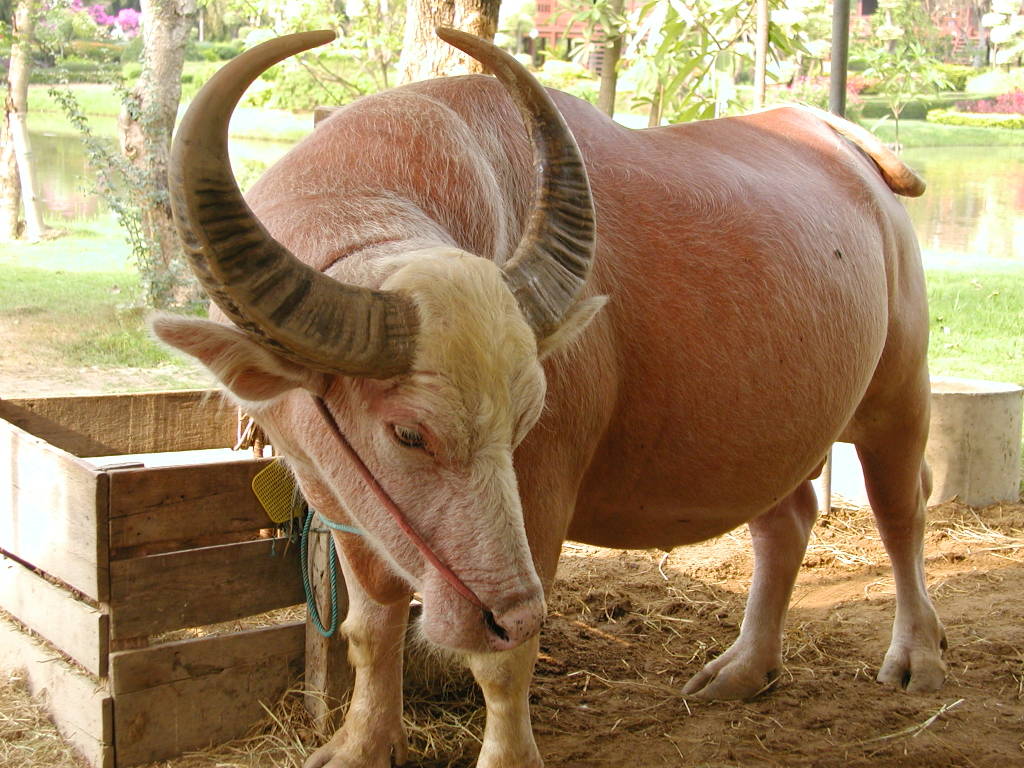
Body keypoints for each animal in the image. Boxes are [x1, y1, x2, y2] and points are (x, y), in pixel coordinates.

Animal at [155, 30, 946, 768]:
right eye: (407, 434)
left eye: (526, 421)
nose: (510, 611)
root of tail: (848, 145)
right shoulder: (336, 497)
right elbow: (370, 629)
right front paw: (362, 743)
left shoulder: (540, 490)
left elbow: (505, 663)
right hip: (769, 440)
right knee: (786, 522)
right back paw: (746, 669)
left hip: (899, 394)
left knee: (902, 513)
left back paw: (918, 655)